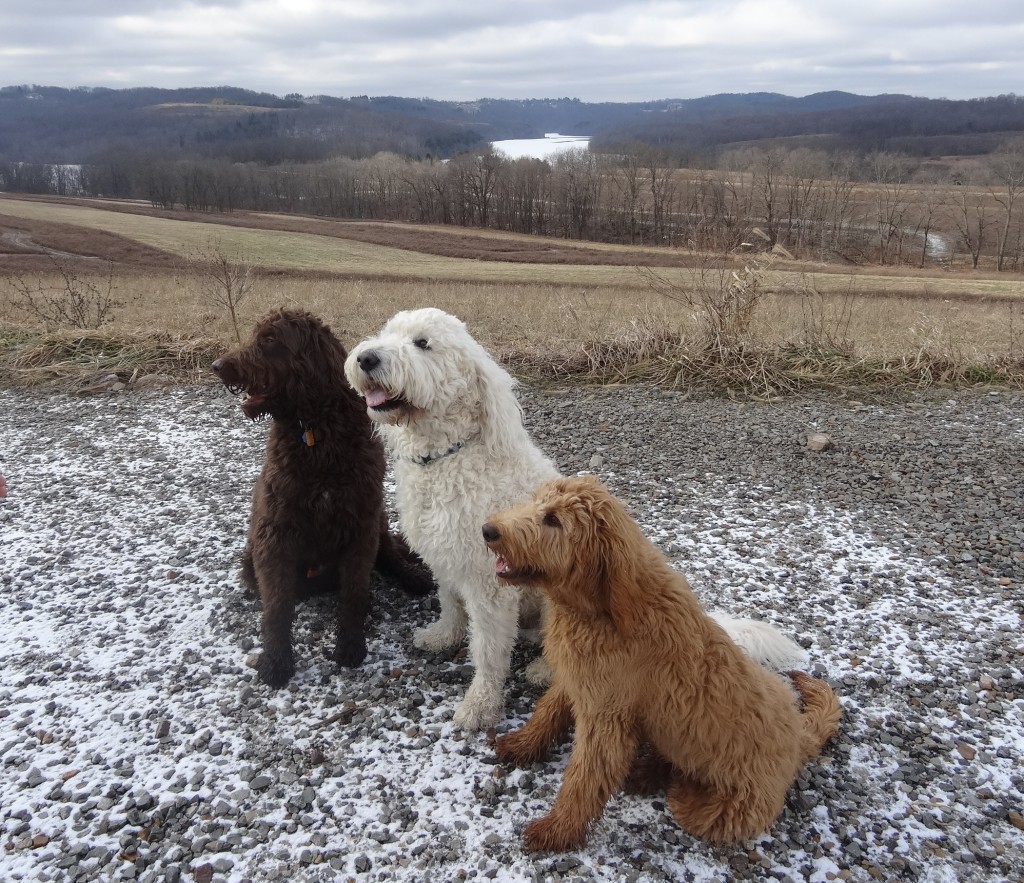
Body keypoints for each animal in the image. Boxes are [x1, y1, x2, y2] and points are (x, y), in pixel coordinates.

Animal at [211, 311, 428, 692]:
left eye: (270, 339)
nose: (218, 365)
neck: (315, 433)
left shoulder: (361, 522)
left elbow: (354, 592)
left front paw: (350, 646)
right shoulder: (274, 532)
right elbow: (277, 607)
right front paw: (276, 660)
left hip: (378, 521)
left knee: (389, 556)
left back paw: (413, 577)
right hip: (251, 560)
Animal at [348, 311, 811, 733]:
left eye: (423, 343)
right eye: (388, 332)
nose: (366, 357)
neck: (449, 456)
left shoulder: (490, 583)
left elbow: (489, 652)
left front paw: (480, 706)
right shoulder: (446, 557)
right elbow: (449, 601)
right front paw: (444, 634)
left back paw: (541, 670)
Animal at [479, 481, 839, 852]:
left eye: (553, 519)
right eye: (536, 501)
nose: (487, 530)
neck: (602, 609)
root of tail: (798, 737)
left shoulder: (606, 715)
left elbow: (586, 776)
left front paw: (557, 829)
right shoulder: (579, 679)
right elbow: (547, 711)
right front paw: (522, 743)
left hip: (726, 808)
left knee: (687, 798)